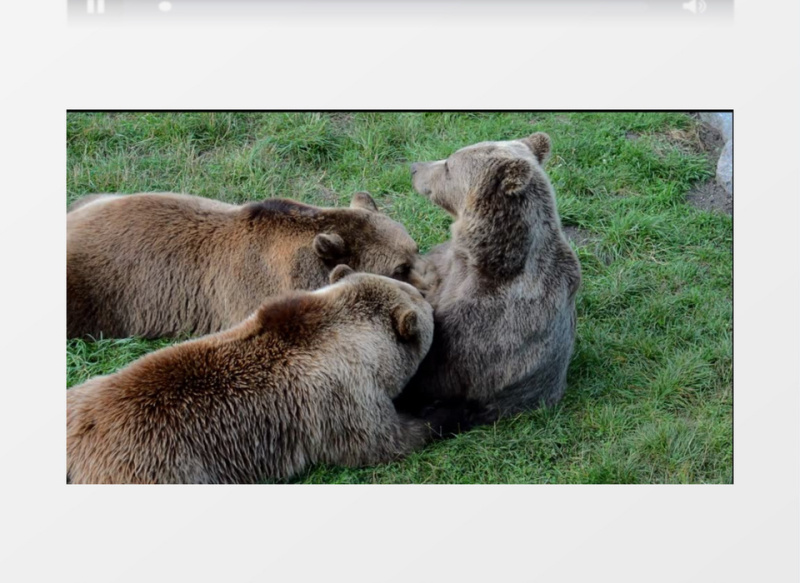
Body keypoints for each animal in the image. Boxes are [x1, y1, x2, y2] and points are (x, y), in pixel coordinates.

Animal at [67, 266, 453, 484]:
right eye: (421, 298)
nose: (428, 295)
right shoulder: (341, 400)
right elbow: (385, 440)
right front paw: (444, 412)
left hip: (81, 393)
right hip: (157, 467)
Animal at [394, 133, 582, 424]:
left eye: (448, 166)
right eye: (449, 158)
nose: (414, 167)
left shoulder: (490, 320)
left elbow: (438, 367)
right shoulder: (446, 267)